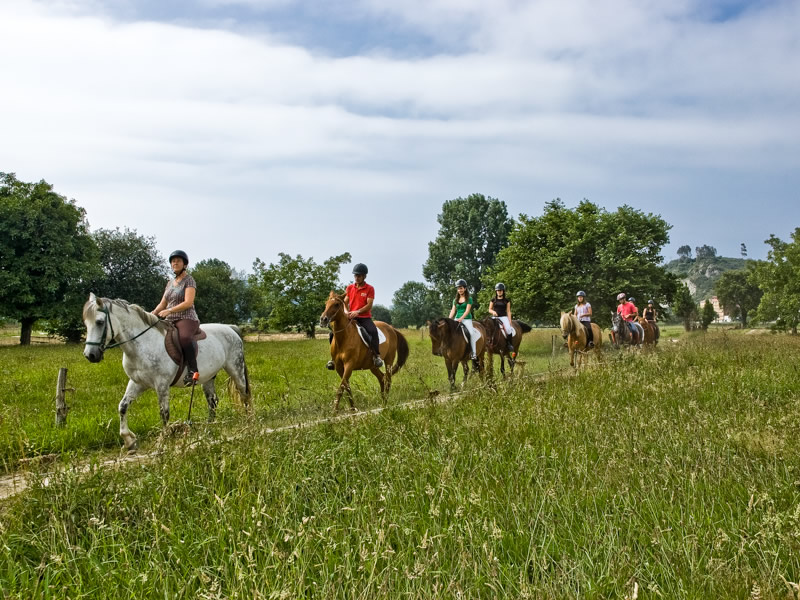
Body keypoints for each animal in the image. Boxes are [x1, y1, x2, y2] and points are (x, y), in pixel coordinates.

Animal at [82, 294, 251, 451]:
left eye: (99, 322)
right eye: (86, 323)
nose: (90, 355)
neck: (142, 344)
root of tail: (230, 328)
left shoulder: (162, 384)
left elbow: (164, 413)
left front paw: (162, 443)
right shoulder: (137, 383)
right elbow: (123, 406)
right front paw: (129, 441)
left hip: (235, 368)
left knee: (244, 394)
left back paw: (248, 424)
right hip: (208, 377)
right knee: (213, 402)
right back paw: (209, 430)